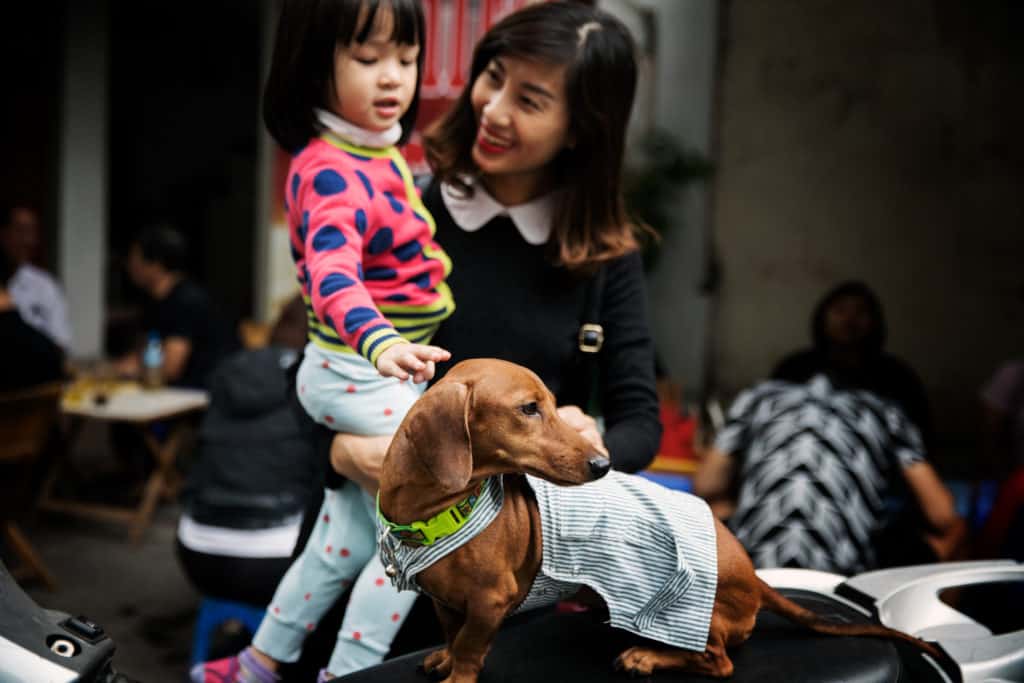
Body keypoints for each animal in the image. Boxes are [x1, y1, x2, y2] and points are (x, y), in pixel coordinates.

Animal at [376, 358, 942, 683]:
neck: (433, 514)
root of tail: (754, 577)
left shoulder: (490, 603)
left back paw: (646, 658)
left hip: (689, 616)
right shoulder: (448, 601)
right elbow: (454, 636)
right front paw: (444, 658)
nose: (602, 465)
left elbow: (472, 650)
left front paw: (458, 674)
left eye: (553, 406)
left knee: (718, 661)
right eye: (528, 409)